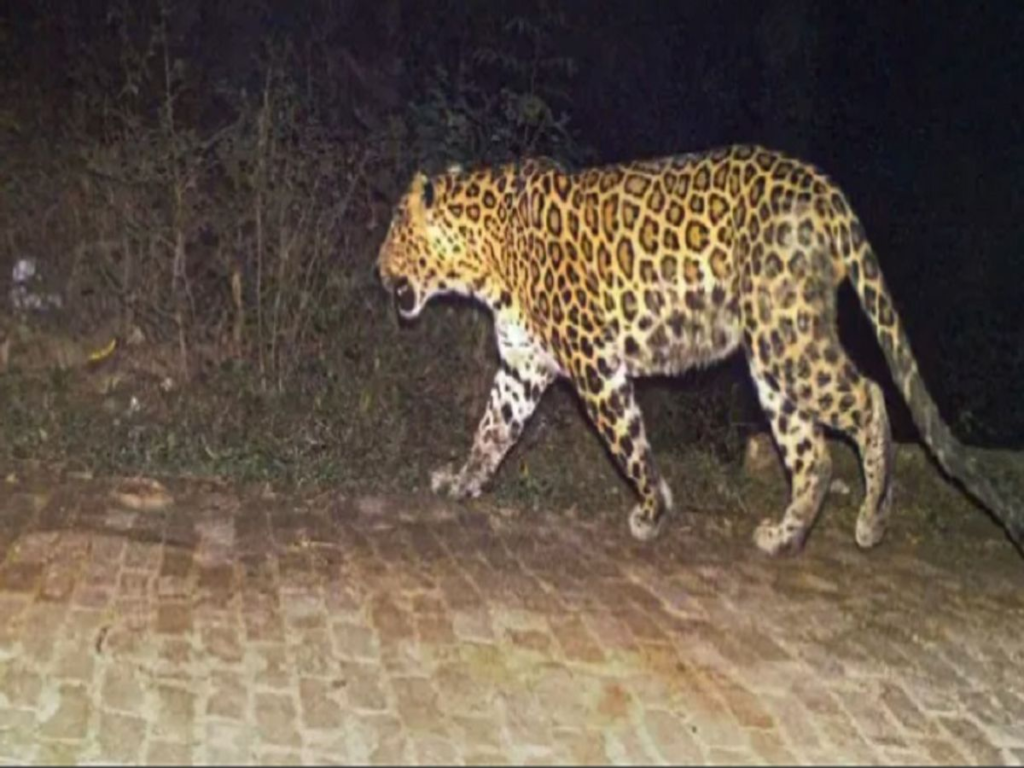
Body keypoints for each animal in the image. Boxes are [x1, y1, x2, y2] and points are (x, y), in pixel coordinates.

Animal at [376, 144, 1023, 555]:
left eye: (393, 234)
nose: (377, 270)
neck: (484, 258)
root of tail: (824, 189)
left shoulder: (594, 362)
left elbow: (627, 440)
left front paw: (652, 510)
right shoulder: (521, 368)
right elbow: (491, 430)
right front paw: (462, 483)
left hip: (785, 336)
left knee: (867, 397)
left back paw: (872, 518)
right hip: (771, 357)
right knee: (813, 454)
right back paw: (784, 537)